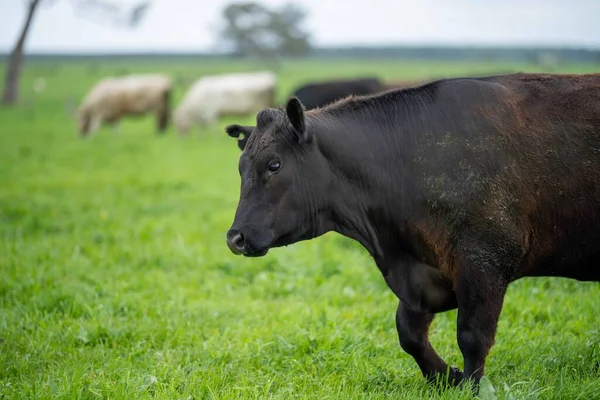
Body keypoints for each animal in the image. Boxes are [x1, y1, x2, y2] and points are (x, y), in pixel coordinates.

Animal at [224, 73, 600, 392]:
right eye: (240, 167)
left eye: (274, 164)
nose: (235, 237)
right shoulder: (424, 267)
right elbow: (409, 334)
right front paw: (447, 377)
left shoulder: (485, 261)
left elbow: (472, 336)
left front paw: (471, 386)